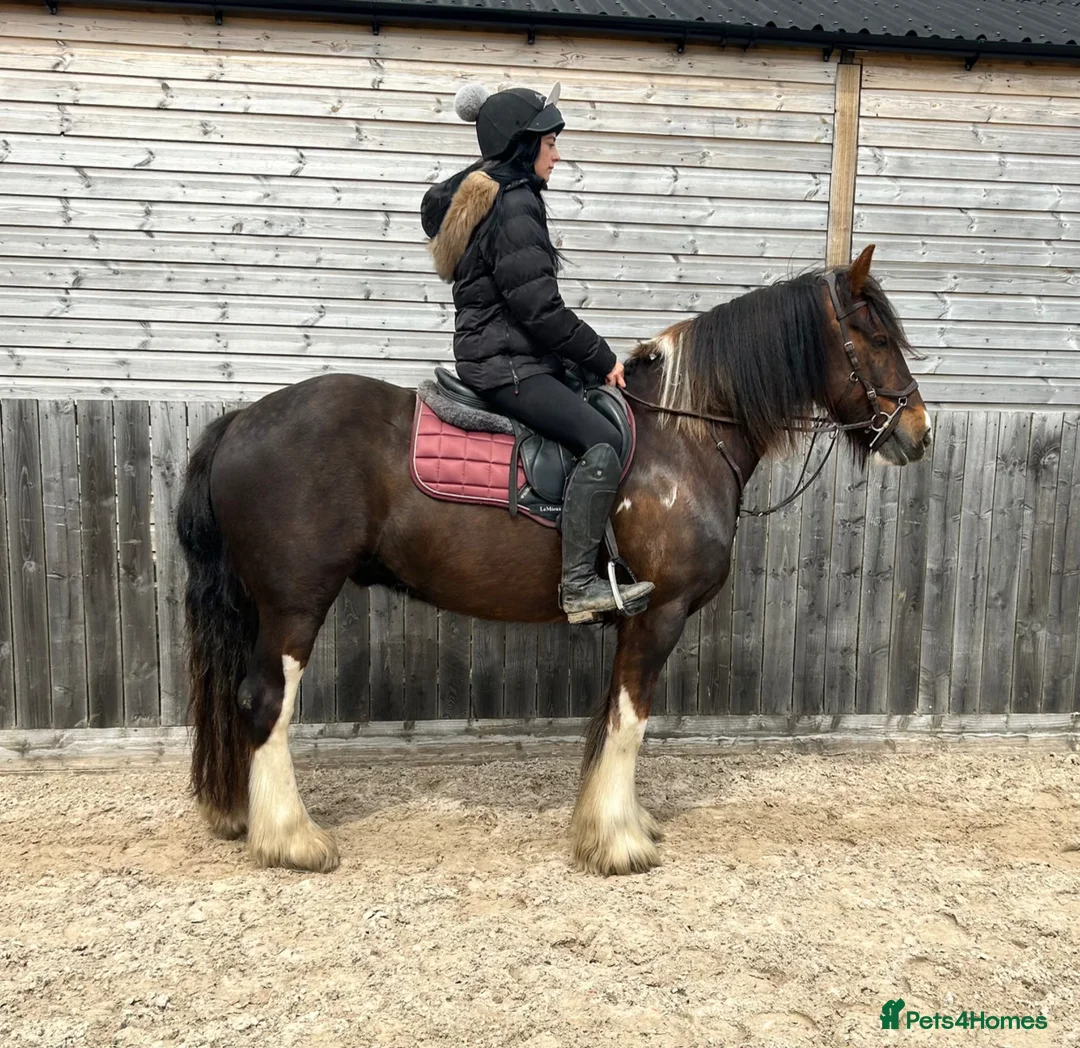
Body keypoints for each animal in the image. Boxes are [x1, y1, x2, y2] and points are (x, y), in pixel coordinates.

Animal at [176, 244, 932, 877]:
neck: (682, 438)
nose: (919, 432)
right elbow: (629, 721)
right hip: (295, 603)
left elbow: (611, 721)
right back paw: (292, 839)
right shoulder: (661, 613)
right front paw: (618, 842)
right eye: (876, 338)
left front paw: (618, 824)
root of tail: (240, 421)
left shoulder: (636, 618)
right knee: (266, 701)